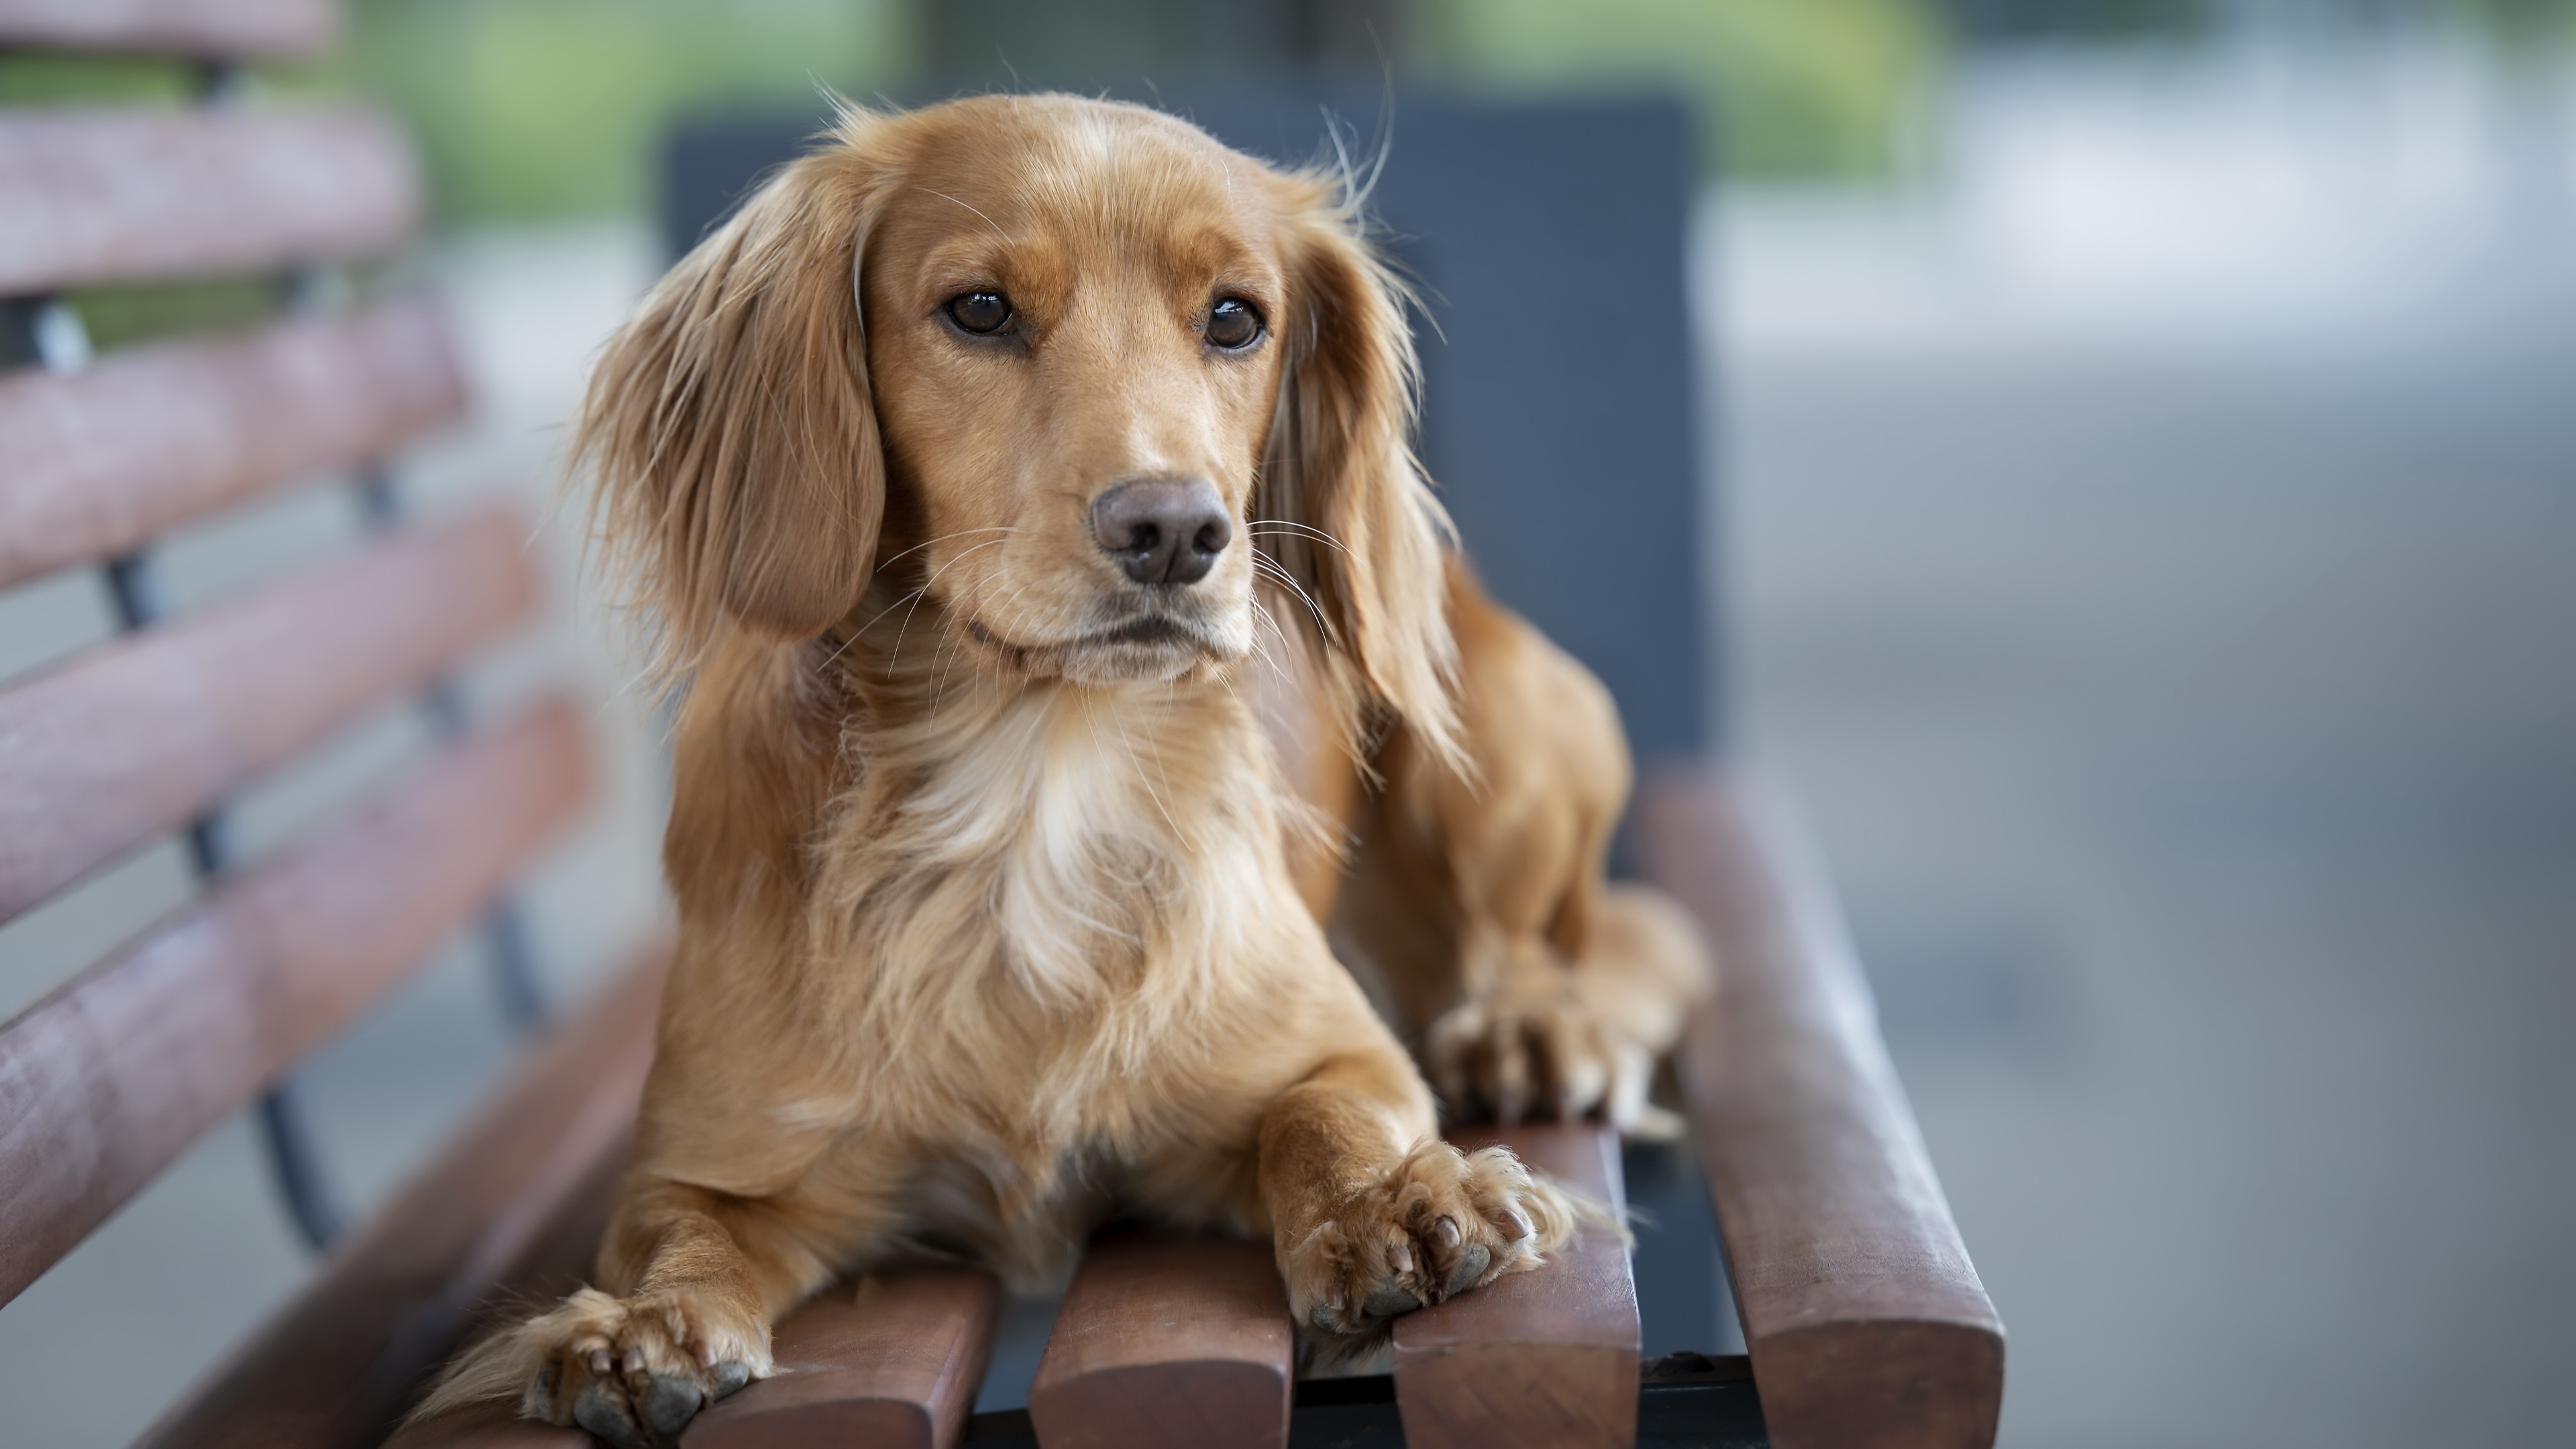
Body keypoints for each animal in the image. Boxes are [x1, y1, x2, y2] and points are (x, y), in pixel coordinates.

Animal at [422, 93, 1710, 1444]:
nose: (1178, 531)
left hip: (1500, 738)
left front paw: (1393, 1202)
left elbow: (1326, 1112)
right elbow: (684, 1231)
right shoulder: (710, 1159)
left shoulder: (1330, 1052)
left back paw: (1524, 1028)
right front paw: (642, 1325)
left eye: (1235, 318)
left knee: (1540, 937)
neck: (1033, 772)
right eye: (979, 309)